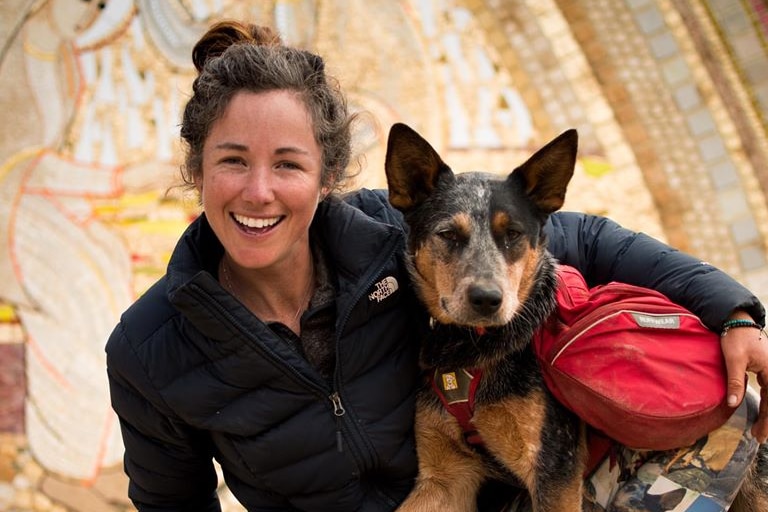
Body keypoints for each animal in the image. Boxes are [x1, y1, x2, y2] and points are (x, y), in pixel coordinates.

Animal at [384, 122, 768, 510]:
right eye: (448, 234)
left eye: (513, 234)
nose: (488, 299)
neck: (470, 350)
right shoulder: (444, 480)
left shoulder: (554, 472)